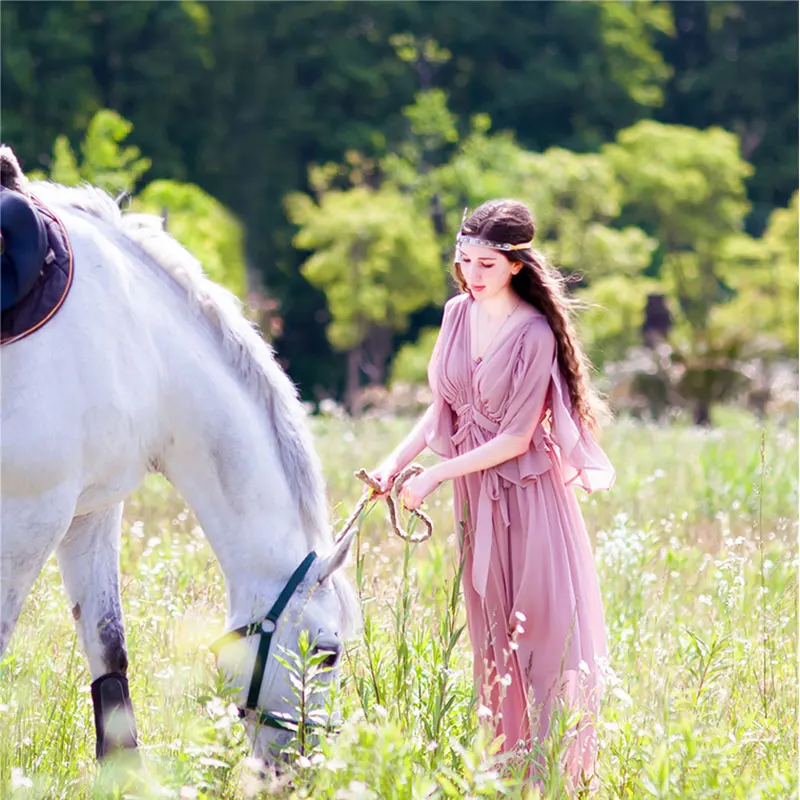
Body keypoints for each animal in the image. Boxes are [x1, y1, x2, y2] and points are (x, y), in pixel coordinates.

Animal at [0, 161, 358, 764]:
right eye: (326, 651)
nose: (302, 764)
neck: (137, 341)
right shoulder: (30, 514)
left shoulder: (90, 510)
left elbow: (109, 648)